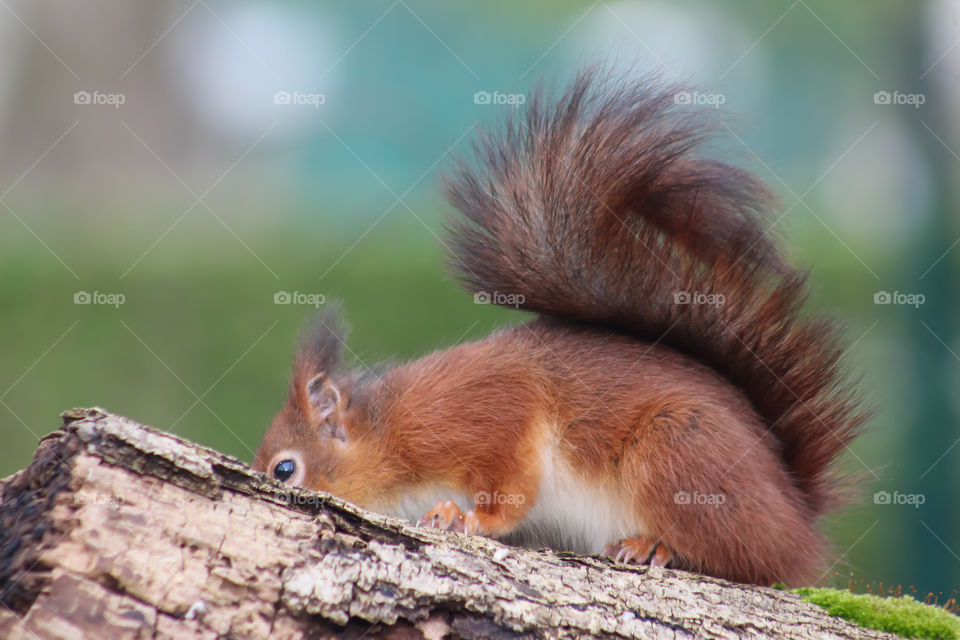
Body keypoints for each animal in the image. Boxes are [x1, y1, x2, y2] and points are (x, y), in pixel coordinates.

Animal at [251, 69, 868, 584]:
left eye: (285, 469)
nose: (269, 481)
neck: (387, 430)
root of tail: (796, 516)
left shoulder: (483, 415)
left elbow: (509, 487)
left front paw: (466, 517)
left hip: (680, 452)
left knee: (745, 558)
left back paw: (656, 546)